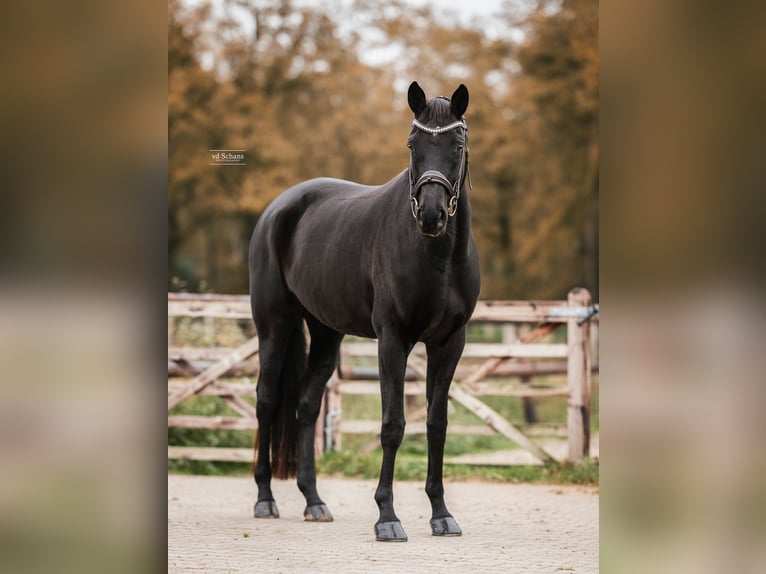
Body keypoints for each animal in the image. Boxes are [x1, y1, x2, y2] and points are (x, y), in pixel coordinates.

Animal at [250, 82, 480, 544]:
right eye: (412, 144)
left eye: (457, 145)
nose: (430, 214)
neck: (439, 255)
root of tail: (277, 209)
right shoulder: (393, 340)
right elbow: (393, 425)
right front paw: (387, 518)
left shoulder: (450, 343)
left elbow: (437, 424)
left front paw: (441, 514)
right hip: (274, 326)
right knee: (266, 401)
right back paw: (265, 499)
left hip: (325, 334)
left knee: (306, 407)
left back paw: (314, 502)